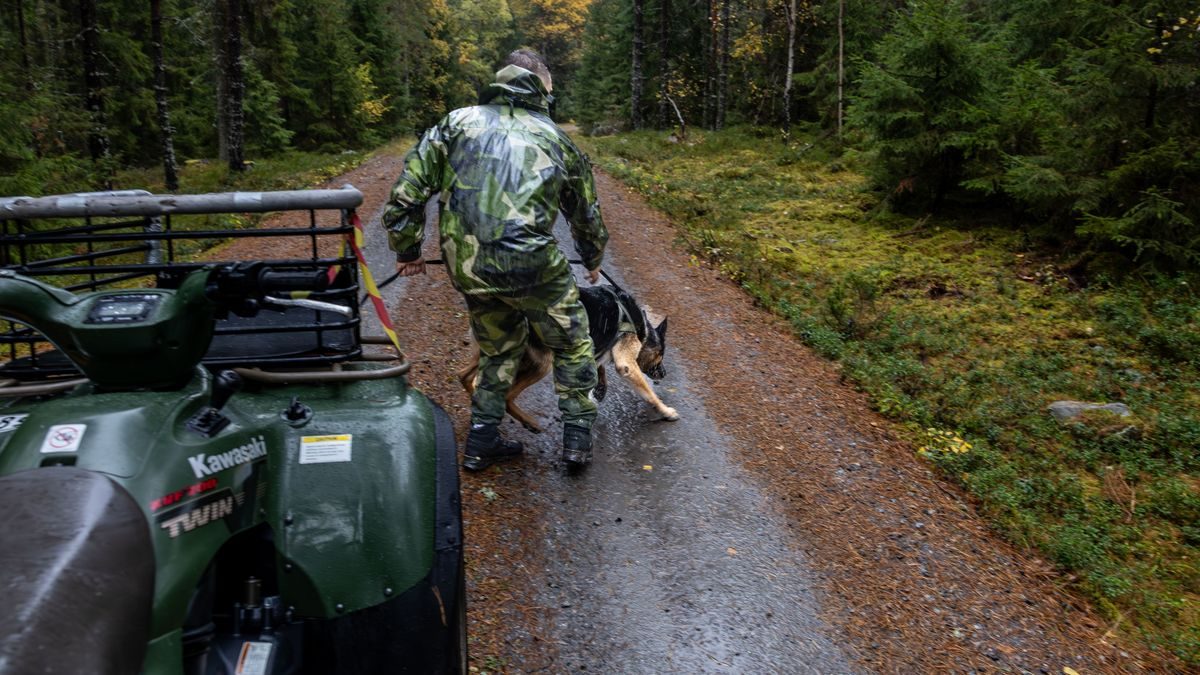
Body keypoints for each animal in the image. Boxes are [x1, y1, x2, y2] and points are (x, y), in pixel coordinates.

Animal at [458, 283, 681, 429]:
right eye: (661, 355)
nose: (664, 373)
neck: (643, 329)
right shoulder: (626, 364)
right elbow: (649, 394)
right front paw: (665, 411)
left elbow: (599, 366)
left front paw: (600, 389)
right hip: (541, 364)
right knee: (506, 396)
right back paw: (528, 423)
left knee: (465, 376)